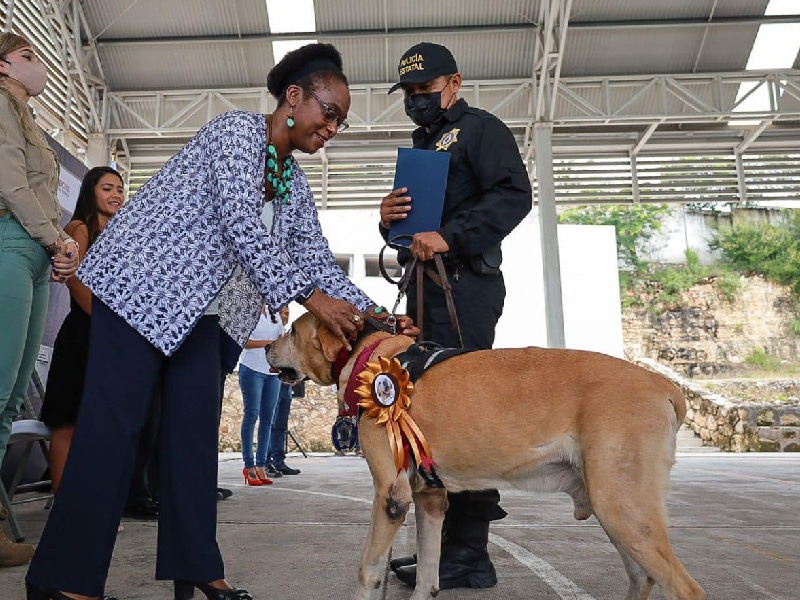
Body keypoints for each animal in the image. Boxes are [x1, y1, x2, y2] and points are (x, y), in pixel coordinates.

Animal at [268, 314, 708, 600]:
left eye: (292, 330)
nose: (267, 346)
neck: (372, 358)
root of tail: (661, 383)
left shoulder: (391, 499)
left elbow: (368, 572)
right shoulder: (429, 499)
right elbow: (427, 576)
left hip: (622, 507)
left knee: (684, 588)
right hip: (619, 511)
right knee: (643, 579)